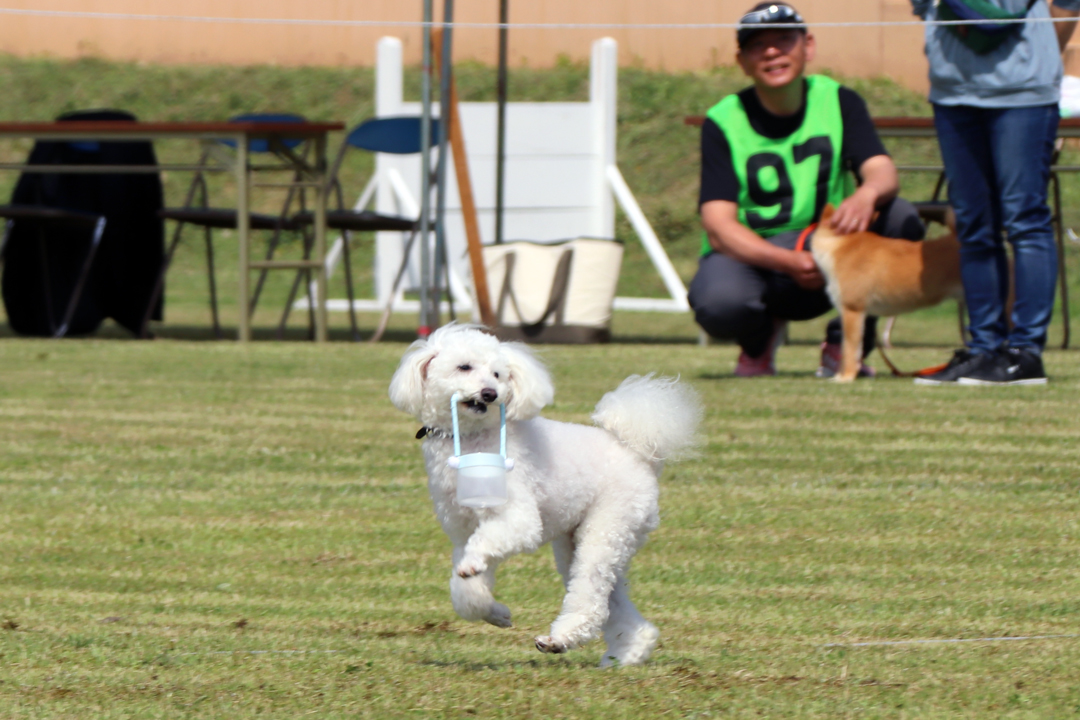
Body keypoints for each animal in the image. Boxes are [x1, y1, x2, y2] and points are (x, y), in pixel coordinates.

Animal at [388, 323, 699, 669]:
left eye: (498, 374)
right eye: (464, 367)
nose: (490, 393)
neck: (472, 439)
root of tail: (637, 453)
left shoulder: (515, 518)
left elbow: (487, 546)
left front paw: (474, 569)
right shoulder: (462, 530)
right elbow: (466, 593)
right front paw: (496, 613)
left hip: (608, 527)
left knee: (590, 594)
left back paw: (560, 639)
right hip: (584, 541)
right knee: (613, 600)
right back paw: (626, 652)